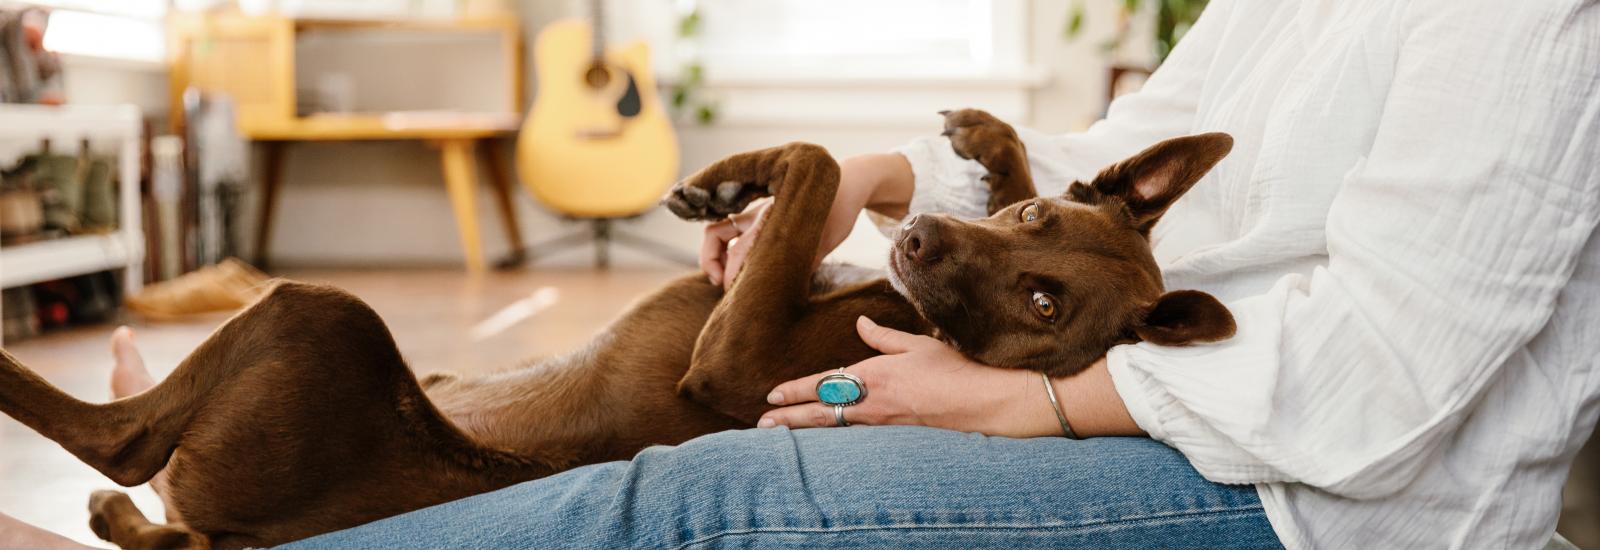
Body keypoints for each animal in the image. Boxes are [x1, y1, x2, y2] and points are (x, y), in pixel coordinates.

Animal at [0, 109, 1235, 546]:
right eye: (1033, 228)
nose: (923, 239)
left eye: (1045, 303)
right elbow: (850, 166)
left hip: (321, 320)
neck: (899, 302)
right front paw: (978, 138)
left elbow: (816, 157)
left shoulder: (733, 366)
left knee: (123, 438)